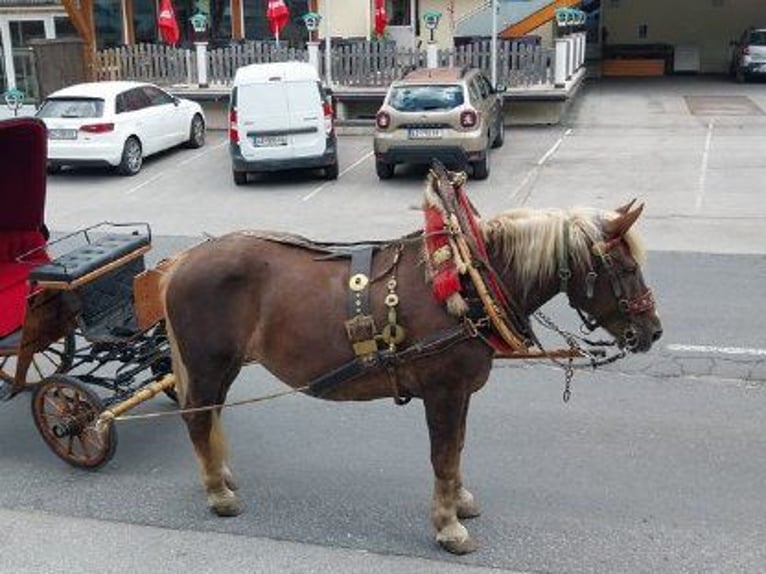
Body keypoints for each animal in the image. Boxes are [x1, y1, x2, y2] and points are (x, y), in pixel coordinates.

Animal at [162, 169, 664, 556]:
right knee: (197, 415)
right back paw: (218, 491)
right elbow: (442, 454)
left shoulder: (459, 393)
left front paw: (459, 501)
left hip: (225, 366)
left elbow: (457, 448)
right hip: (208, 364)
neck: (470, 279)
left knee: (210, 414)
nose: (654, 331)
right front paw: (448, 527)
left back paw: (221, 471)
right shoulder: (444, 391)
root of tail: (184, 259)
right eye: (626, 267)